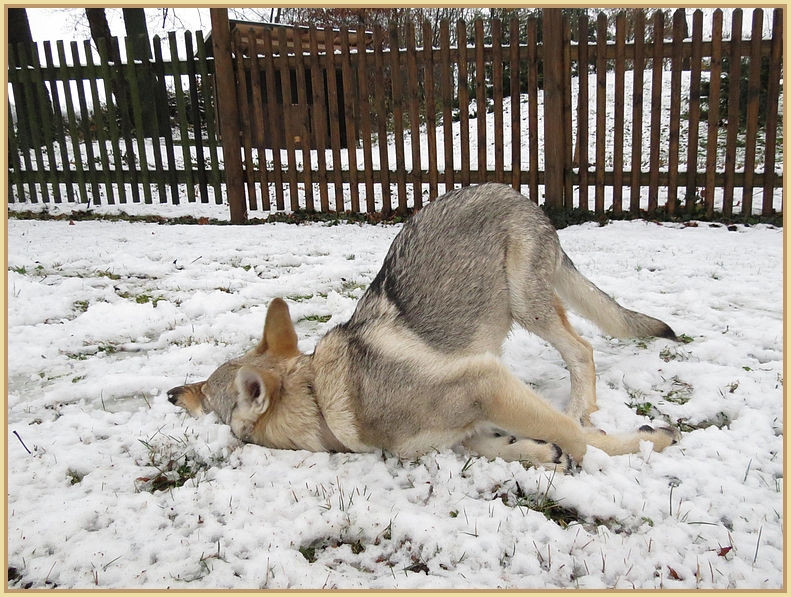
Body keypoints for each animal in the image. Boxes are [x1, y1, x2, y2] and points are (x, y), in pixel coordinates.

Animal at [167, 183, 680, 470]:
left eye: (204, 391)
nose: (170, 393)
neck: (322, 398)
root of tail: (518, 195)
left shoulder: (486, 383)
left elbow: (575, 439)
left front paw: (634, 442)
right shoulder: (472, 423)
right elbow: (503, 446)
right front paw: (542, 453)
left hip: (526, 308)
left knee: (581, 351)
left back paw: (580, 408)